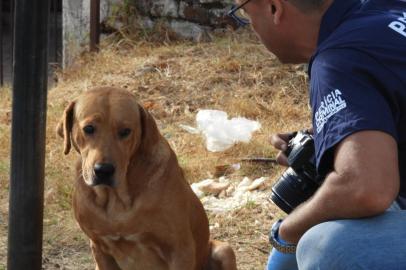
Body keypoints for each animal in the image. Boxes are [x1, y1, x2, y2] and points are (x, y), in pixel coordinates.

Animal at [55, 87, 236, 270]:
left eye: (125, 131)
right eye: (89, 128)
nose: (103, 171)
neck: (118, 201)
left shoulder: (180, 249)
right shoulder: (99, 248)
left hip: (224, 250)